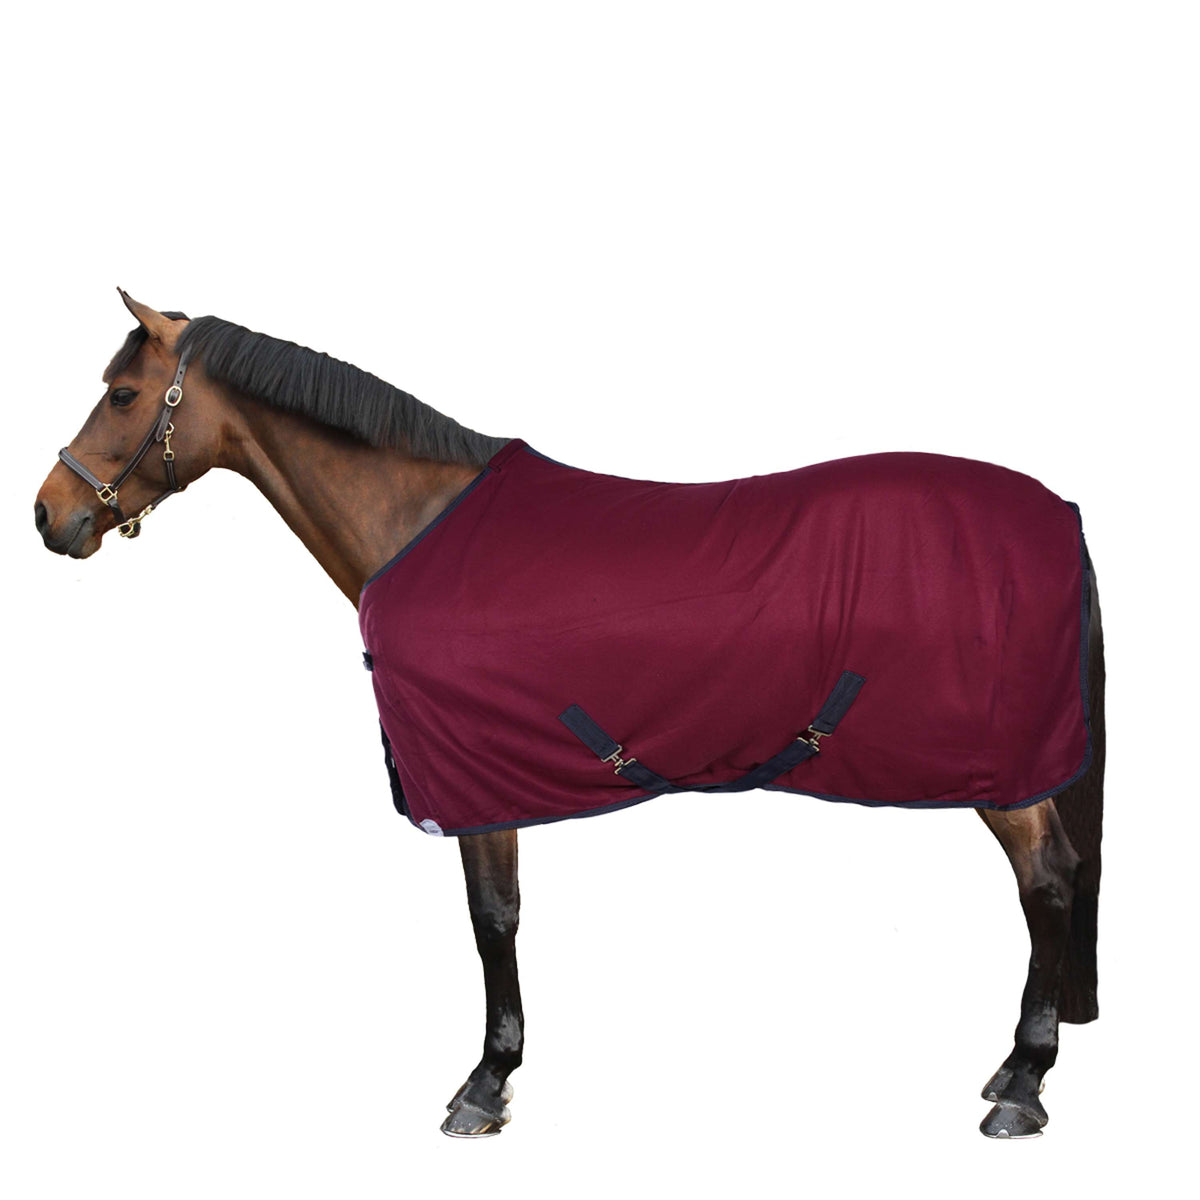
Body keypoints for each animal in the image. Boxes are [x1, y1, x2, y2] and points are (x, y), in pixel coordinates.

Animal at [35, 291, 1104, 1140]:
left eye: (123, 395)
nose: (49, 516)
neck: (418, 523)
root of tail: (1056, 512)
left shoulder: (475, 776)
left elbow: (492, 919)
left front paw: (485, 1083)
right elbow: (501, 915)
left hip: (1002, 773)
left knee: (1048, 881)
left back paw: (1022, 1085)